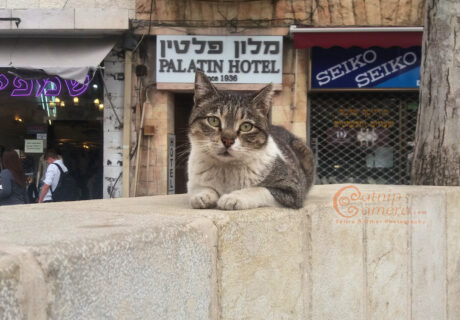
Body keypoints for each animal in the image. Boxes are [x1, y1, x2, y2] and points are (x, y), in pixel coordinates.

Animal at [188, 70, 316, 210]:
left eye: (246, 126)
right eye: (213, 120)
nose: (228, 140)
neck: (226, 169)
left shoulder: (293, 189)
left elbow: (260, 189)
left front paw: (233, 197)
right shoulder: (192, 181)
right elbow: (199, 188)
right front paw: (203, 195)